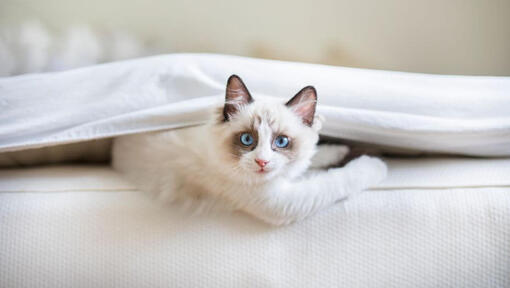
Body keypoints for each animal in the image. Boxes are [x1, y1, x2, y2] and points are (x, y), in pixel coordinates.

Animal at [113, 74, 388, 225]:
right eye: (247, 140)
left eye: (281, 142)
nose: (262, 162)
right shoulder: (283, 202)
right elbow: (340, 179)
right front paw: (376, 163)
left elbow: (316, 157)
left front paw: (341, 150)